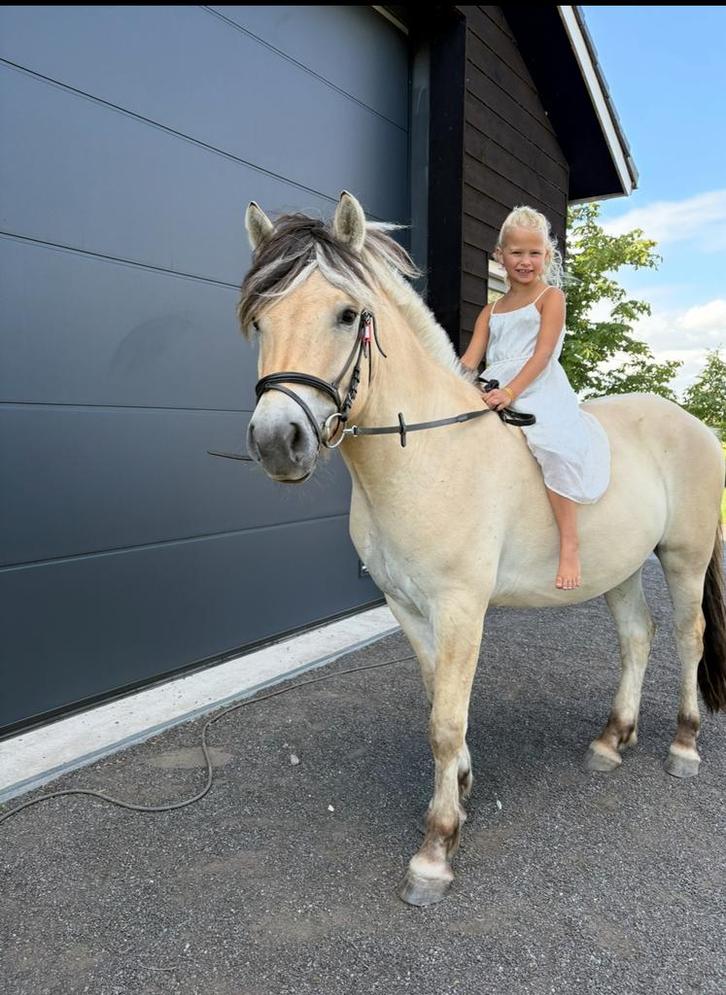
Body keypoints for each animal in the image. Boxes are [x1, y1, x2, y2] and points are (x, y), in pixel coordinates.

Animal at [236, 190, 726, 906]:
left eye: (347, 315)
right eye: (259, 319)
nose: (278, 442)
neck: (424, 452)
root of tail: (693, 423)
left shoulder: (461, 607)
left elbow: (446, 720)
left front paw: (436, 851)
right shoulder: (407, 607)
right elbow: (436, 699)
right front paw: (463, 788)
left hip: (685, 559)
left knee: (689, 638)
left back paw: (683, 747)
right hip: (622, 569)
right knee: (639, 636)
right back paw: (612, 741)